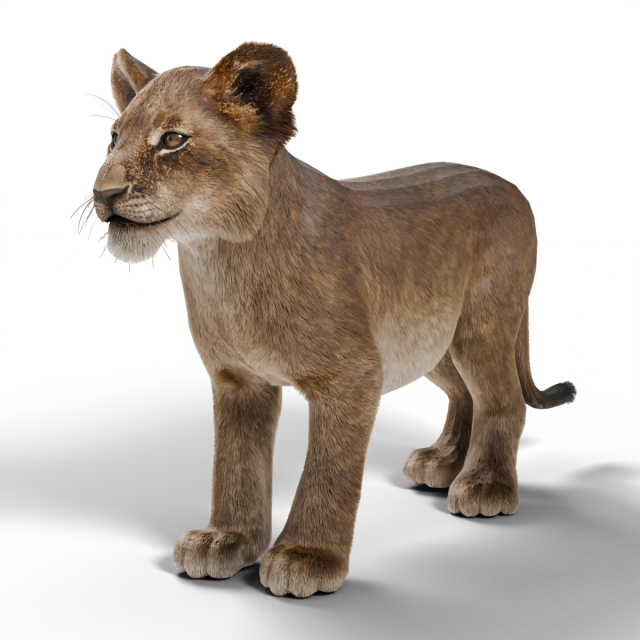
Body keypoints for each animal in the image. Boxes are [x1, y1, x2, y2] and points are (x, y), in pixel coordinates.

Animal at [87, 41, 577, 597]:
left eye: (173, 140)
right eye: (115, 136)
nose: (102, 194)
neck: (221, 258)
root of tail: (512, 186)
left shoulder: (352, 375)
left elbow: (328, 466)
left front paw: (306, 556)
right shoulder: (238, 380)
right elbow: (235, 462)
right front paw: (225, 540)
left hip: (482, 326)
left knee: (503, 401)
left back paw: (483, 485)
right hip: (428, 341)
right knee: (464, 394)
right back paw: (442, 461)